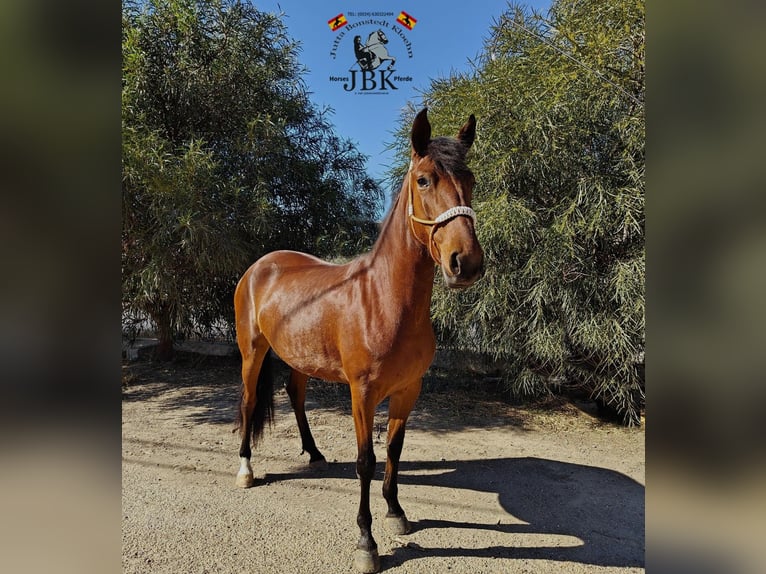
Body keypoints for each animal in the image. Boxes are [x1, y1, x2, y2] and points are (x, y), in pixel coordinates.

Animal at [234, 110, 486, 572]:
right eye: (424, 180)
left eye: (470, 178)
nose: (467, 263)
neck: (383, 300)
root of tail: (260, 265)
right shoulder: (362, 393)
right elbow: (366, 461)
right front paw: (367, 542)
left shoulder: (408, 390)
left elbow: (394, 450)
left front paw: (396, 512)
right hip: (252, 352)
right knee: (248, 401)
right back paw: (245, 470)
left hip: (298, 357)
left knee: (294, 393)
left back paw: (314, 454)